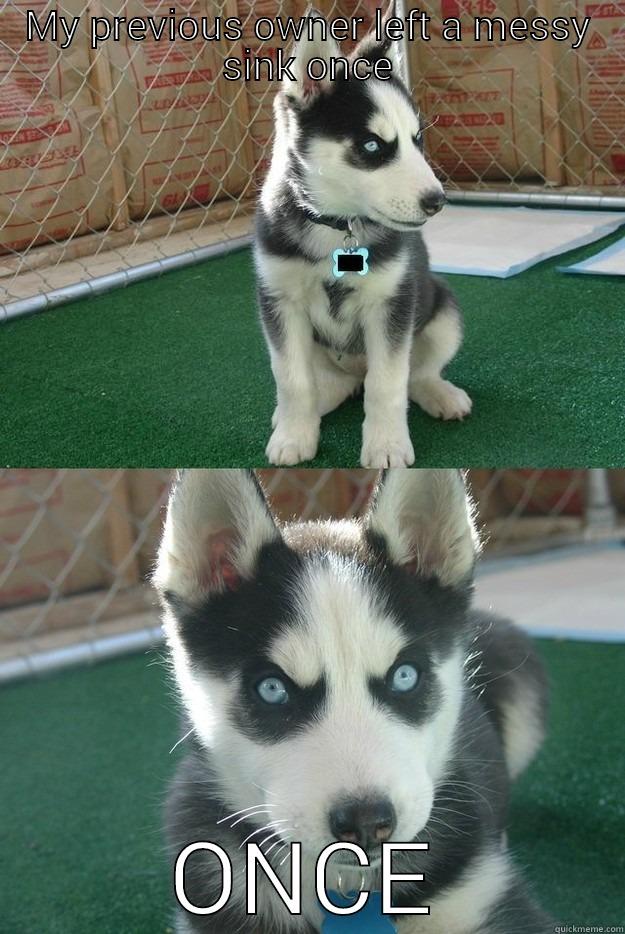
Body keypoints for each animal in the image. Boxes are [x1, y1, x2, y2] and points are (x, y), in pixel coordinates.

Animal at [256, 12, 470, 466]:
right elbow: (292, 379)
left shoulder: (391, 305)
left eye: (417, 140)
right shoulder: (280, 303)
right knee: (330, 383)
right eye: (372, 146)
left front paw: (386, 445)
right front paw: (293, 435)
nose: (437, 202)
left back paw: (440, 394)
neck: (337, 226)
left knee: (414, 374)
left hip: (443, 311)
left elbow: (387, 383)